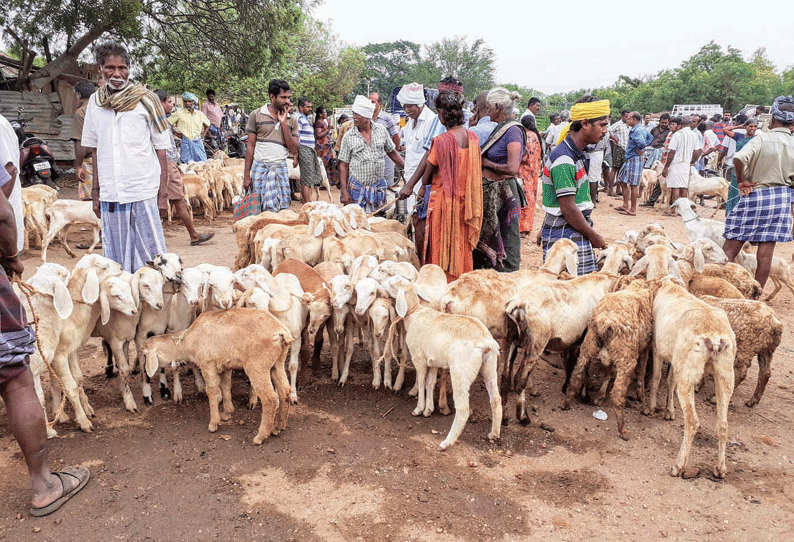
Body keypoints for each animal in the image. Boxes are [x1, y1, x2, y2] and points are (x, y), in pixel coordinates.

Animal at [141, 310, 292, 446]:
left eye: (144, 354)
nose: (143, 371)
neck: (187, 341)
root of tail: (281, 332)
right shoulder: (224, 365)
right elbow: (225, 387)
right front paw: (227, 413)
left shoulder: (207, 364)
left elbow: (212, 391)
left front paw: (213, 423)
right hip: (277, 363)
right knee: (285, 391)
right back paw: (278, 427)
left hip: (258, 366)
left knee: (270, 400)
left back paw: (260, 436)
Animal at [380, 282, 498, 452]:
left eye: (391, 283)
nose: (380, 286)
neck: (415, 312)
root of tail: (486, 342)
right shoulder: (432, 361)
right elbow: (430, 383)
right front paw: (428, 409)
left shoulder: (419, 358)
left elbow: (421, 382)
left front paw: (418, 409)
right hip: (490, 366)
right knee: (496, 399)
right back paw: (494, 434)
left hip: (461, 370)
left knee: (463, 408)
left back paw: (447, 442)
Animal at [564, 276, 656, 442]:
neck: (636, 288)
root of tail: (606, 323)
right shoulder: (645, 347)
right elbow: (641, 372)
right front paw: (642, 399)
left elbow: (607, 371)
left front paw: (599, 397)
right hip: (627, 358)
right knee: (618, 394)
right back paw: (623, 431)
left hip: (588, 347)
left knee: (575, 376)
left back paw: (566, 404)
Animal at [648, 280, 732, 480]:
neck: (671, 287)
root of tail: (715, 339)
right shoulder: (675, 359)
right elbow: (670, 381)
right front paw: (669, 411)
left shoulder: (657, 349)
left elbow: (656, 378)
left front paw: (651, 407)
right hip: (725, 373)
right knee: (723, 424)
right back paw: (720, 469)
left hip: (689, 373)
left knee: (692, 422)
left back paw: (678, 466)